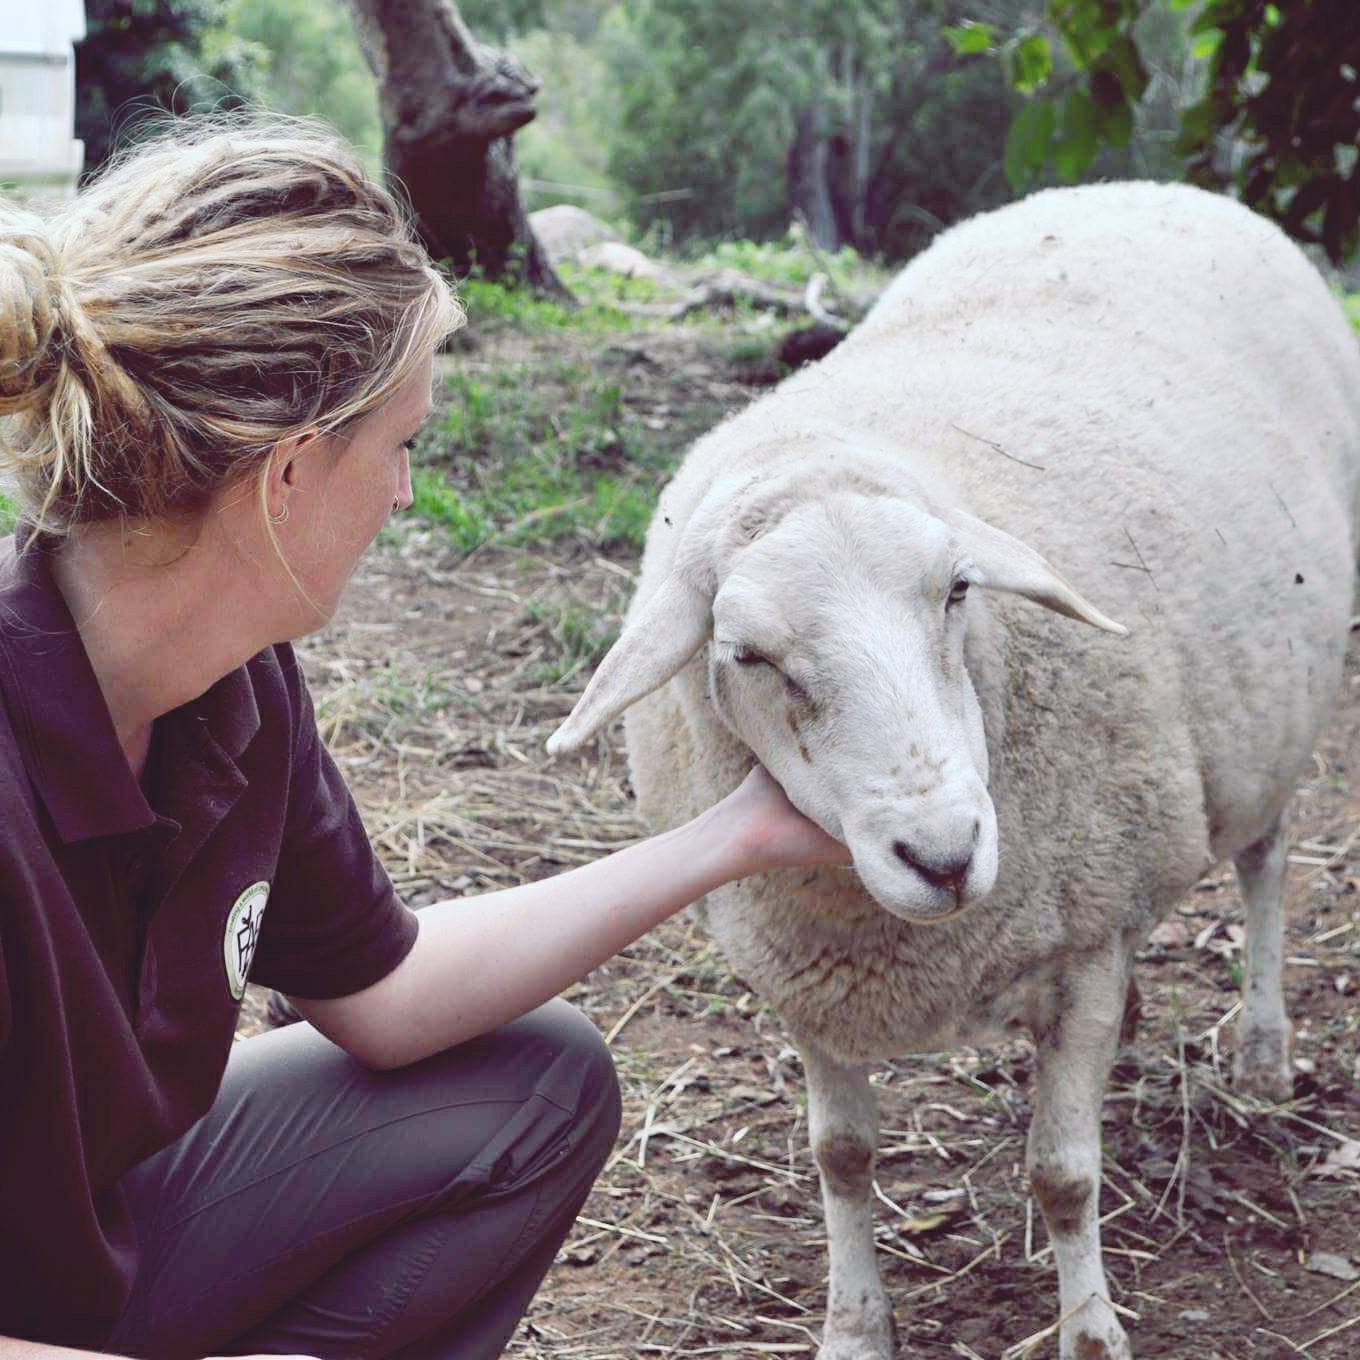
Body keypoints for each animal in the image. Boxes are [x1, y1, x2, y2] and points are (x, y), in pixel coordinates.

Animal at [544, 180, 1360, 1360]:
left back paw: (1261, 1048)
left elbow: (1062, 1176)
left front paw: (1089, 1332)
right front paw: (853, 1325)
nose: (943, 852)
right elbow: (840, 1161)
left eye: (958, 591)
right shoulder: (805, 979)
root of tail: (1144, 187)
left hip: (1275, 722)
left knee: (1264, 864)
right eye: (745, 654)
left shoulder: (1077, 941)